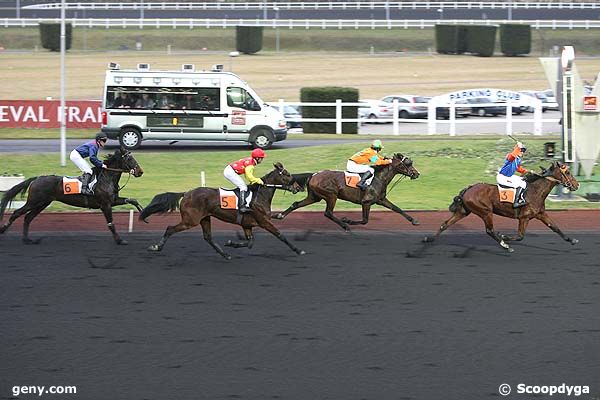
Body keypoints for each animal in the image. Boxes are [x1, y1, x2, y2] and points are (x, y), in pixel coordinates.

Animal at [0, 148, 144, 244]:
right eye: (129, 159)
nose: (140, 171)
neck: (106, 178)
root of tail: (37, 178)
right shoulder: (105, 205)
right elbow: (111, 223)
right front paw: (119, 240)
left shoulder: (112, 200)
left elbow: (133, 200)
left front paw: (143, 214)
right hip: (34, 201)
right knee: (17, 213)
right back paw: (3, 230)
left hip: (42, 203)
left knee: (28, 217)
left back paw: (27, 239)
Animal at [138, 162, 302, 260]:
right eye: (287, 174)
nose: (298, 187)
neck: (259, 196)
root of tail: (186, 193)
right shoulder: (264, 222)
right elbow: (281, 235)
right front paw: (298, 250)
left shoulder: (247, 225)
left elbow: (250, 242)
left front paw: (231, 243)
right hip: (190, 220)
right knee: (170, 229)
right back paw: (156, 247)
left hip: (205, 218)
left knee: (208, 237)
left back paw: (225, 254)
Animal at [274, 152, 420, 231]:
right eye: (408, 163)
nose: (416, 174)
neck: (378, 178)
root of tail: (314, 175)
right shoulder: (366, 202)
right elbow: (365, 220)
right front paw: (348, 220)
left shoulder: (381, 200)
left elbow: (397, 209)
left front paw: (414, 221)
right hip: (331, 195)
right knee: (328, 213)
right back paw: (345, 225)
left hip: (314, 196)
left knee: (296, 204)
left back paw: (280, 215)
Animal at [424, 161, 580, 252]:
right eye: (567, 172)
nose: (576, 185)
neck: (534, 191)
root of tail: (468, 189)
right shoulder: (524, 217)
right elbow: (520, 236)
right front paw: (505, 237)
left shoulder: (540, 214)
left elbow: (555, 227)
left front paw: (572, 240)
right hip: (486, 211)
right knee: (490, 230)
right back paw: (505, 245)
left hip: (464, 211)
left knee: (445, 224)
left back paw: (429, 239)